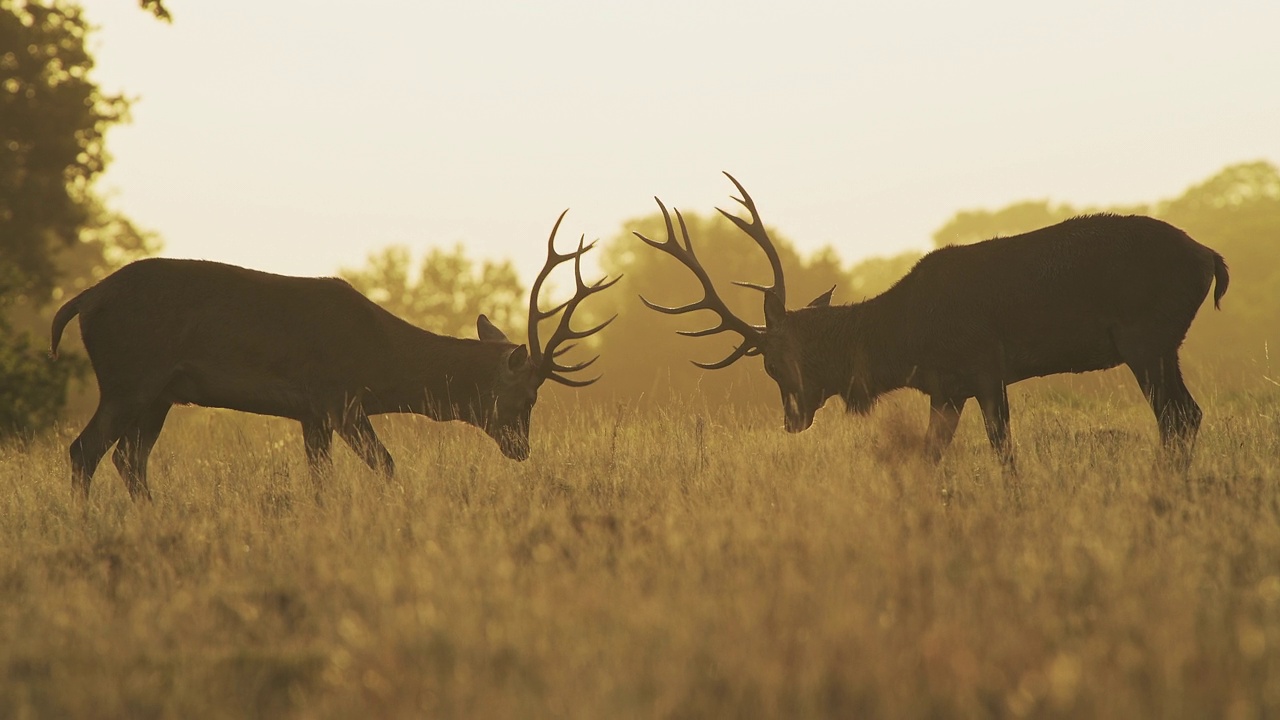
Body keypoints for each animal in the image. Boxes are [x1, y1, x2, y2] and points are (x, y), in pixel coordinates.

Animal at [47, 208, 611, 499]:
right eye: (529, 398)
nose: (522, 449)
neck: (383, 363)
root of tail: (85, 300)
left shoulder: (311, 413)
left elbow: (321, 479)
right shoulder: (339, 398)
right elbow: (386, 465)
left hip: (159, 393)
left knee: (127, 459)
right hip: (129, 378)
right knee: (84, 451)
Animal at [640, 172, 1228, 466]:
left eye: (772, 365)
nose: (792, 421)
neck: (905, 340)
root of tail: (1210, 259)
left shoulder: (986, 366)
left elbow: (1003, 452)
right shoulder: (946, 387)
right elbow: (929, 456)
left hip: (1146, 338)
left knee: (1178, 417)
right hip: (1159, 344)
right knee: (1186, 415)